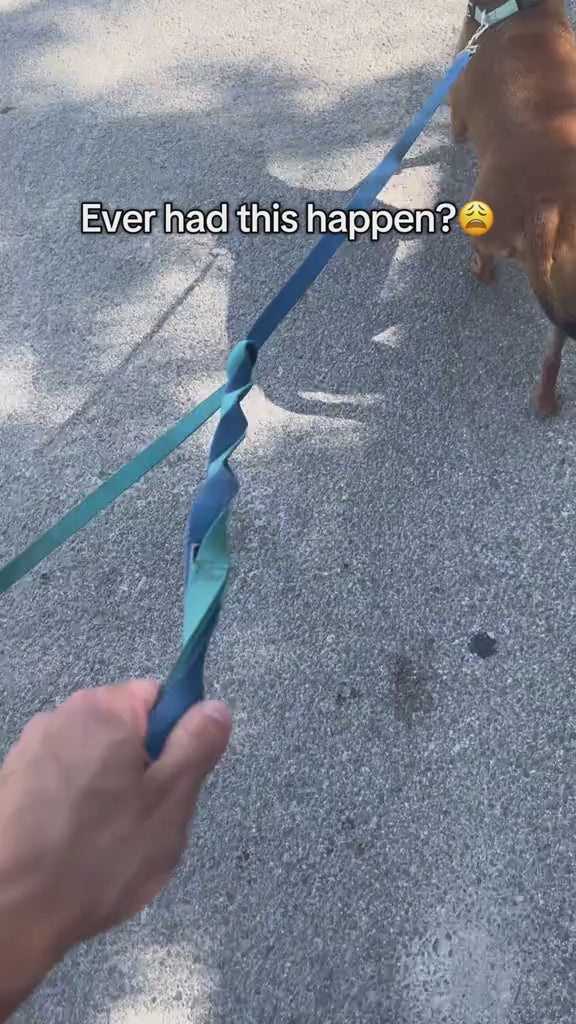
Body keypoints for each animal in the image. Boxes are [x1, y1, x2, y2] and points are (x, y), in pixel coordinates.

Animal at [450, 0, 576, 414]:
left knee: (486, 262)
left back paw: (479, 269)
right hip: (565, 296)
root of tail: (547, 205)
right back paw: (547, 403)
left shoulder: (455, 104)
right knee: (553, 357)